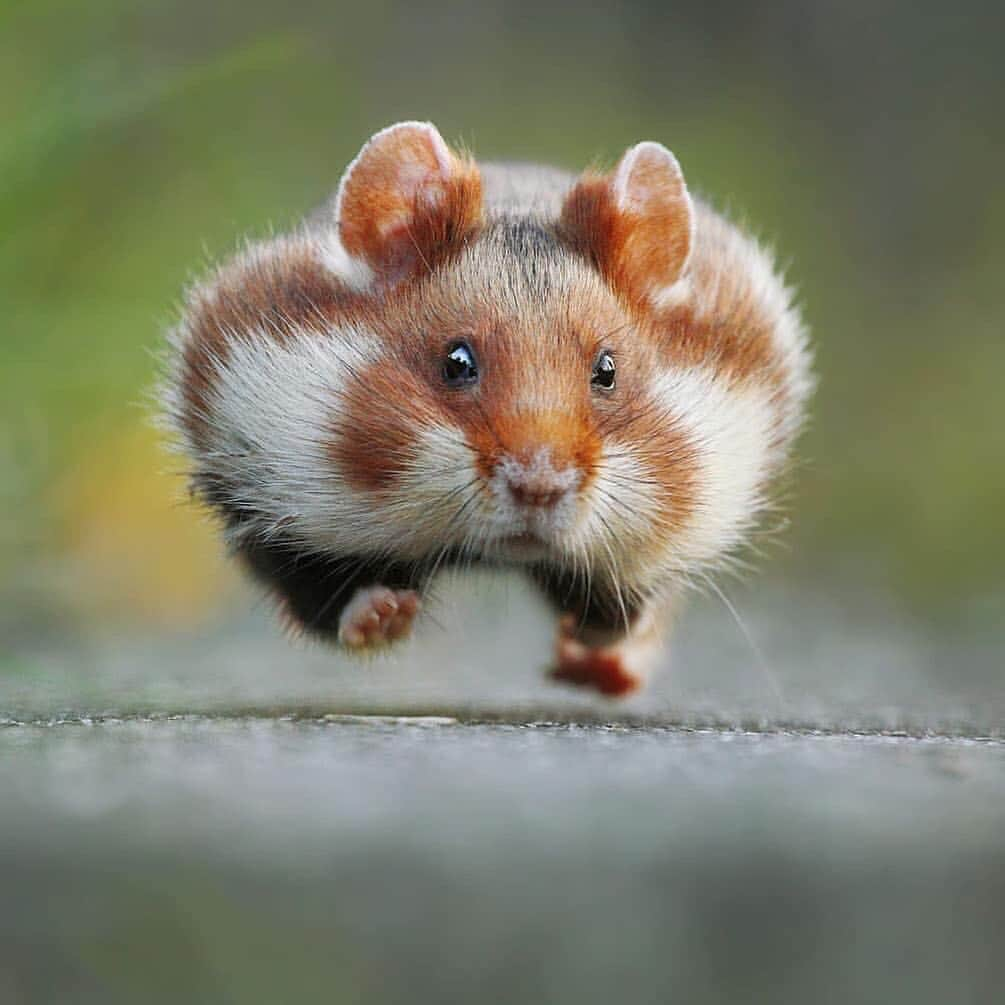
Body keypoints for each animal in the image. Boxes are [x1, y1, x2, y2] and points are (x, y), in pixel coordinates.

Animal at [162, 119, 808, 699]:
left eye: (607, 371)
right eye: (456, 362)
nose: (539, 488)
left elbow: (624, 606)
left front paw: (590, 639)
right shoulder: (266, 500)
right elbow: (325, 598)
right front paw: (386, 615)